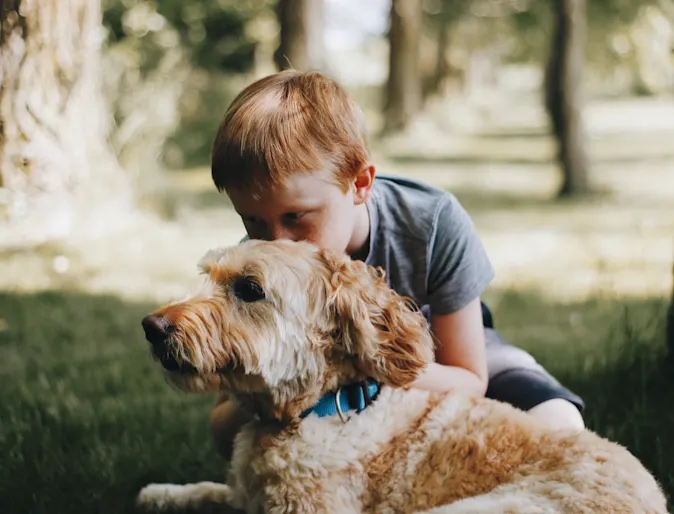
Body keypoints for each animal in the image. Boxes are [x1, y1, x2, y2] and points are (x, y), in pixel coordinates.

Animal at [134, 238, 664, 510]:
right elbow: (209, 491)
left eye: (248, 289)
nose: (151, 327)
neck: (321, 406)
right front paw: (165, 493)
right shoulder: (246, 497)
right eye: (209, 277)